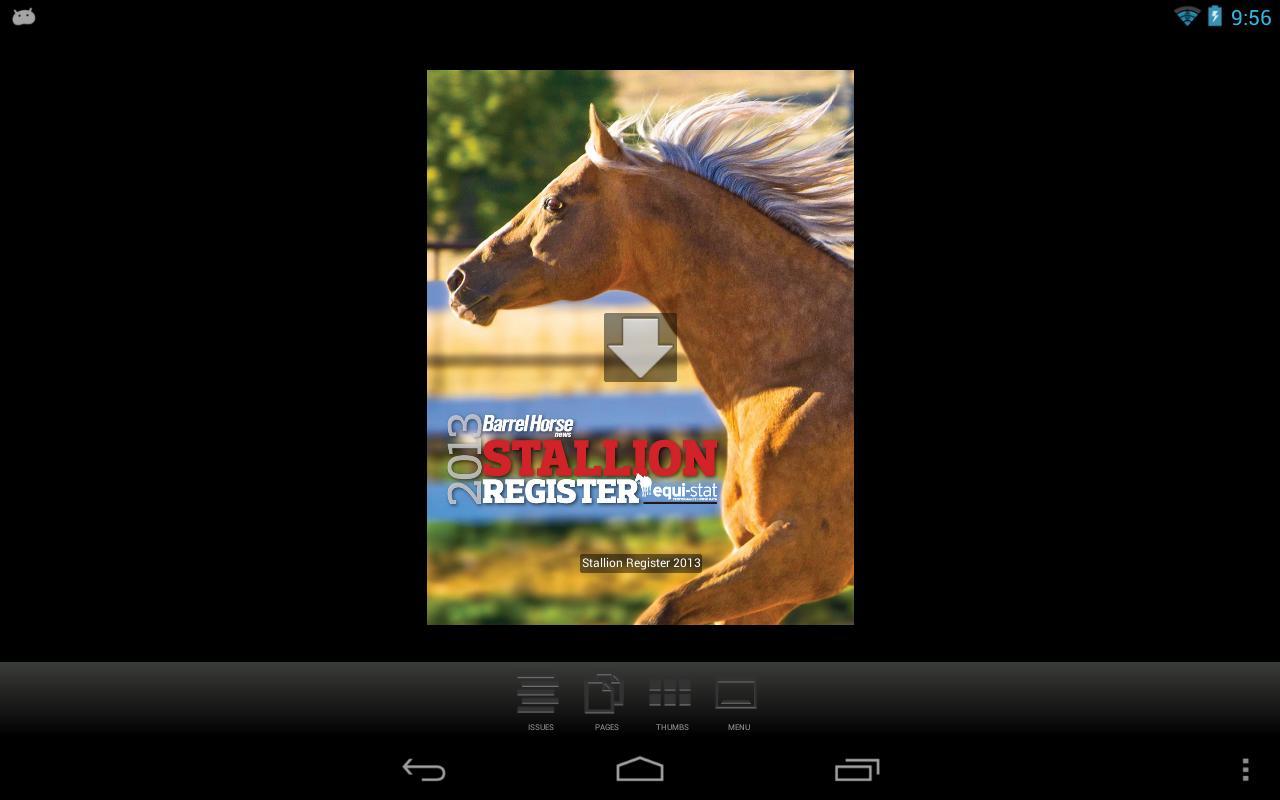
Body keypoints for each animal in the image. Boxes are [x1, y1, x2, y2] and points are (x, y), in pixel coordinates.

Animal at [446, 92, 853, 624]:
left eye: (555, 202)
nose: (458, 280)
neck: (799, 375)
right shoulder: (767, 569)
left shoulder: (804, 552)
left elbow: (664, 605)